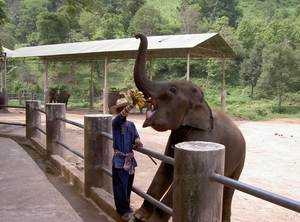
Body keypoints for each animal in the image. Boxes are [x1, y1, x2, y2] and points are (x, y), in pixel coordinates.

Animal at [132, 33, 245, 222]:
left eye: (172, 89)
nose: (135, 35)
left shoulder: (202, 137)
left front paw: (153, 220)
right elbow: (165, 169)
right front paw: (140, 216)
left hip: (239, 161)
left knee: (227, 195)